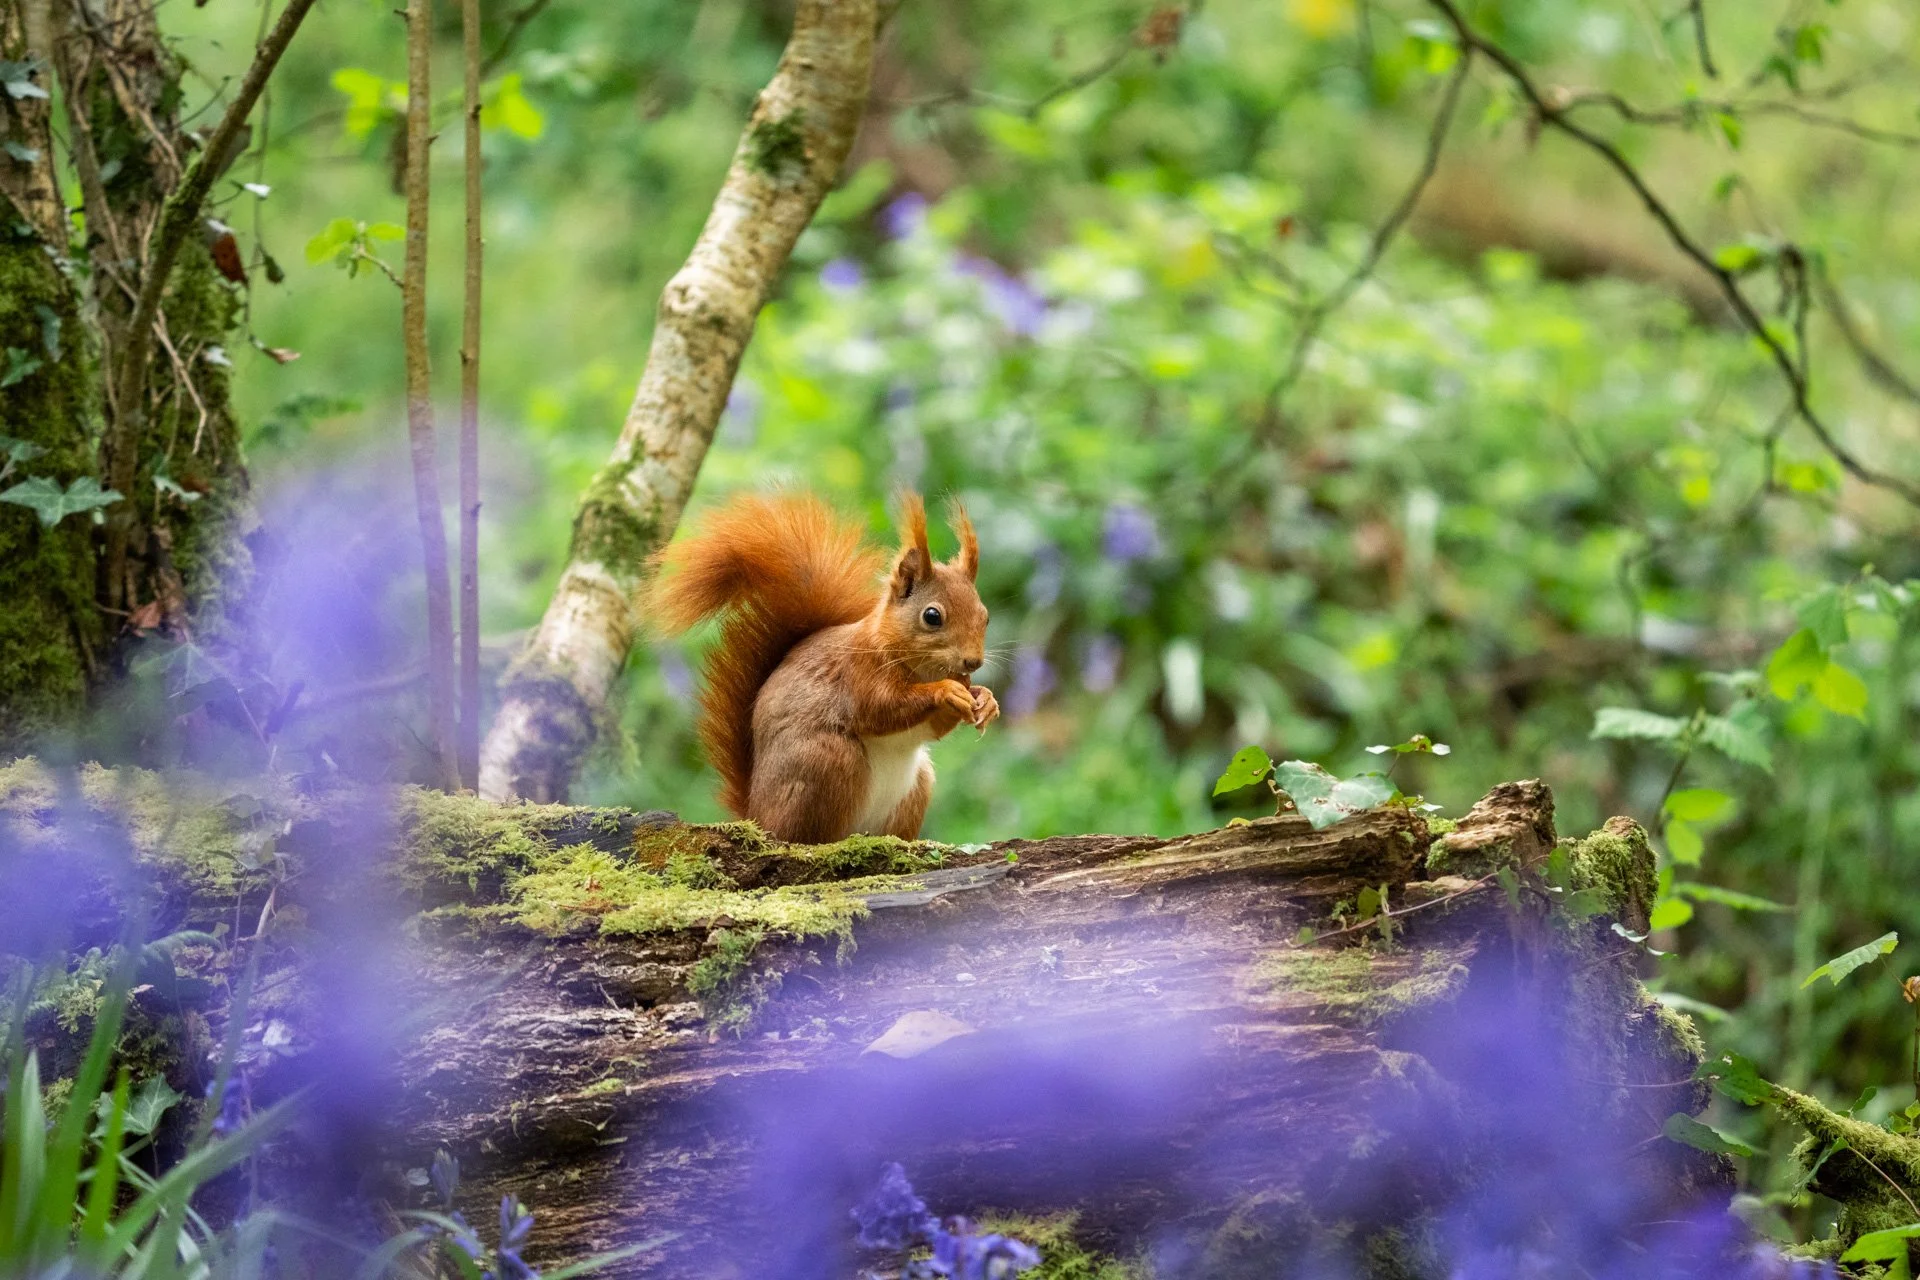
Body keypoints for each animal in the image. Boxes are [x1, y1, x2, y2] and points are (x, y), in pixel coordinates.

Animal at [649, 490, 999, 844]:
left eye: (985, 616)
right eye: (932, 616)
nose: (973, 661)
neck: (921, 668)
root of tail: (757, 816)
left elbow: (933, 727)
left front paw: (986, 700)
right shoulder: (858, 670)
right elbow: (879, 708)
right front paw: (946, 691)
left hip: (917, 785)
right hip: (827, 760)